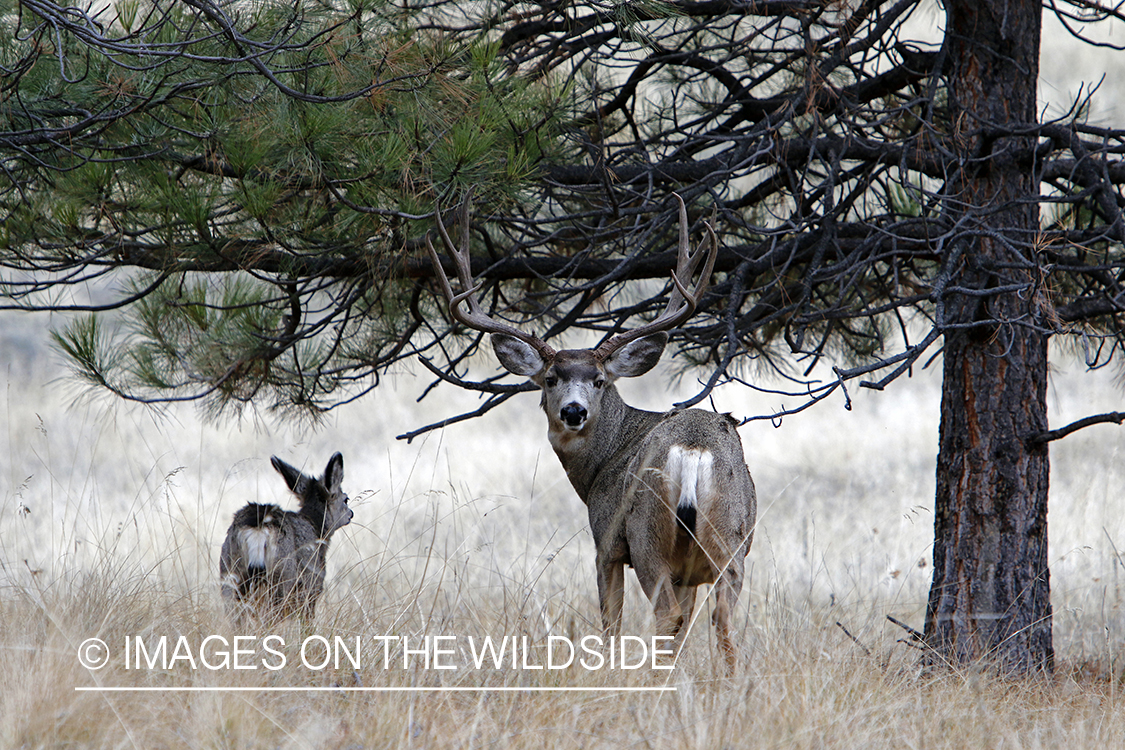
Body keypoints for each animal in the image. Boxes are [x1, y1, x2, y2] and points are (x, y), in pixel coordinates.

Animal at [219, 452, 353, 627]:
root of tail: (258, 528)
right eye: (346, 499)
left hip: (229, 574)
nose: (351, 514)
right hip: (282, 578)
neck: (316, 527)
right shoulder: (312, 586)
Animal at [425, 197, 757, 670]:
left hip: (646, 534)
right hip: (730, 537)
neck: (602, 464)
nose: (574, 410)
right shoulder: (690, 571)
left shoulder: (606, 543)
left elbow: (610, 625)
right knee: (722, 620)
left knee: (666, 617)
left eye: (599, 380)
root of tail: (693, 450)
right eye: (549, 379)